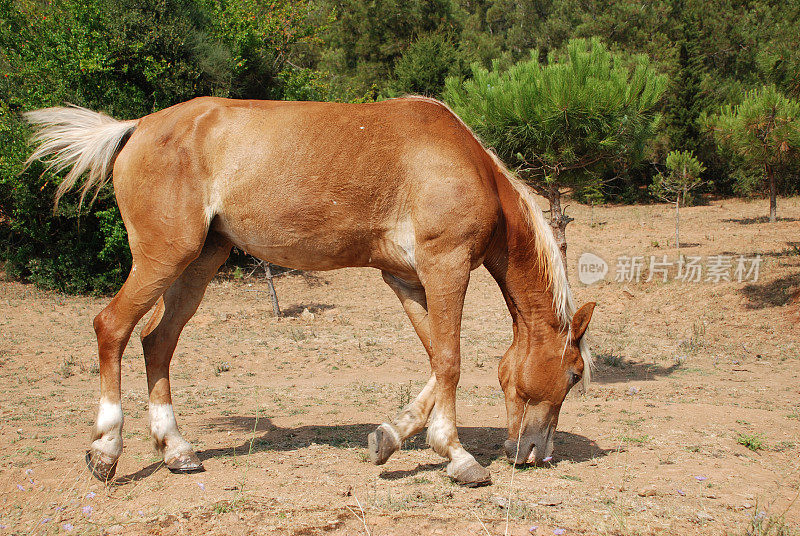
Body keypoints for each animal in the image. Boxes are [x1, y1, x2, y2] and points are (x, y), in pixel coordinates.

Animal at [25, 96, 592, 486]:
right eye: (573, 374)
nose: (535, 453)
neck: (468, 166)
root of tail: (136, 127)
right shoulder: (445, 267)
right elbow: (451, 360)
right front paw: (458, 457)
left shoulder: (408, 279)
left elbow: (436, 359)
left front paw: (390, 438)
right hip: (163, 259)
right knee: (112, 328)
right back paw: (106, 450)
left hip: (197, 265)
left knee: (156, 342)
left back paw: (177, 450)